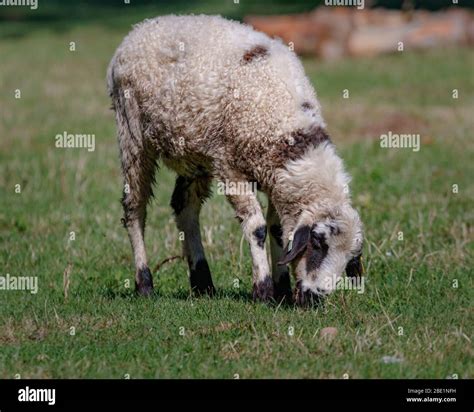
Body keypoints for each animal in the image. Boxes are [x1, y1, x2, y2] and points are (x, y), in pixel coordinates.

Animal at [107, 15, 364, 306]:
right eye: (318, 243)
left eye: (349, 259)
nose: (314, 299)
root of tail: (140, 28)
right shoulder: (231, 168)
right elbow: (258, 228)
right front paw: (263, 290)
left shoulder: (276, 178)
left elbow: (277, 230)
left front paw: (282, 290)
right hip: (132, 134)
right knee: (134, 208)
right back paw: (144, 283)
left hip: (195, 153)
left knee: (184, 207)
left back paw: (203, 284)